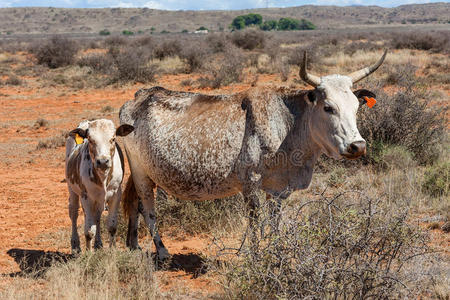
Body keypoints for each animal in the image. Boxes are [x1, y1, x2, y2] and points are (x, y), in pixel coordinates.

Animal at [64, 118, 134, 252]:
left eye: (113, 139)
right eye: (90, 140)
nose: (102, 161)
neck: (103, 177)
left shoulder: (116, 194)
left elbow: (111, 226)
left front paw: (112, 251)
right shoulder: (86, 196)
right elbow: (89, 230)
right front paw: (88, 253)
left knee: (96, 216)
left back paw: (98, 243)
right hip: (72, 189)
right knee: (74, 213)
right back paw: (75, 244)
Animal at [118, 49, 386, 258]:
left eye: (356, 106)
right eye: (328, 107)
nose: (357, 146)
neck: (288, 124)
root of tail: (140, 95)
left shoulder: (278, 189)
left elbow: (275, 223)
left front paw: (277, 253)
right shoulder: (250, 184)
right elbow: (256, 224)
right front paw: (257, 257)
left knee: (135, 204)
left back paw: (134, 246)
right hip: (141, 173)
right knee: (148, 208)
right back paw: (162, 251)